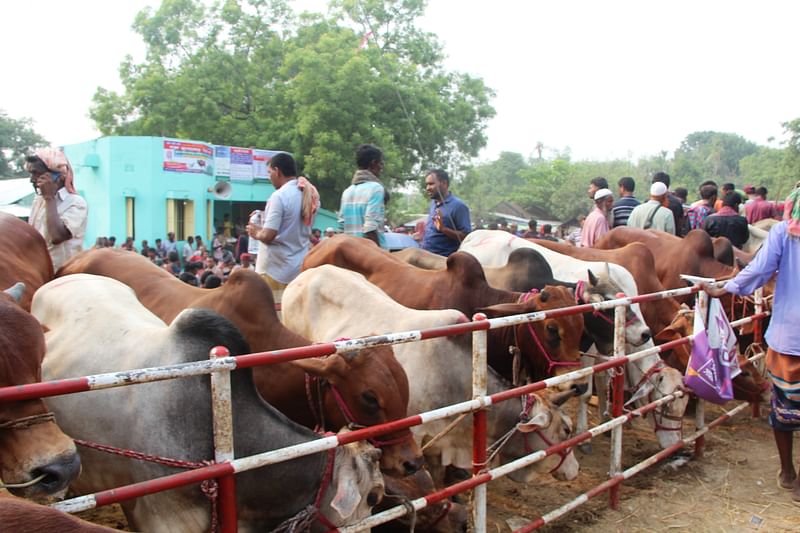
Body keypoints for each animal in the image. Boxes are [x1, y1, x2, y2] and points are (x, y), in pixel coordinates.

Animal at [456, 231, 688, 450]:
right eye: (663, 404)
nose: (644, 333)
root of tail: (472, 237)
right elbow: (585, 391)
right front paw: (584, 436)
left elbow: (603, 380)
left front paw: (606, 419)